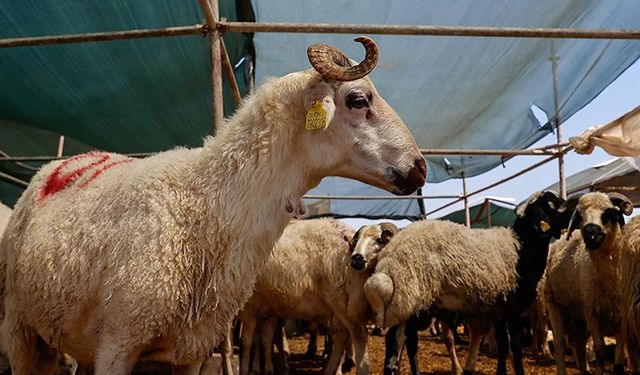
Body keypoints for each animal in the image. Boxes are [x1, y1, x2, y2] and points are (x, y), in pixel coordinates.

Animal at [240, 219, 400, 374]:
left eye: (379, 239)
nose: (358, 259)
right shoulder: (266, 309)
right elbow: (265, 339)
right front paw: (266, 369)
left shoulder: (247, 306)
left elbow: (246, 343)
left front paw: (246, 369)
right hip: (339, 304)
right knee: (342, 335)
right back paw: (330, 369)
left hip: (343, 301)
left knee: (358, 335)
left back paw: (359, 368)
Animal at [368, 191, 572, 375]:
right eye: (553, 203)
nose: (574, 208)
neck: (522, 249)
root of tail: (388, 257)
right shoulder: (513, 309)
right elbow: (515, 347)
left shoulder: (498, 310)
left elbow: (503, 346)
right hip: (409, 300)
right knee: (397, 343)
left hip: (408, 305)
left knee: (399, 343)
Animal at [544, 192, 636, 375]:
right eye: (579, 216)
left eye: (607, 213)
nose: (591, 233)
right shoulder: (591, 311)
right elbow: (600, 350)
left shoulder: (621, 315)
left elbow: (619, 353)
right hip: (555, 305)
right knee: (560, 344)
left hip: (577, 315)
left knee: (578, 342)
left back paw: (584, 369)